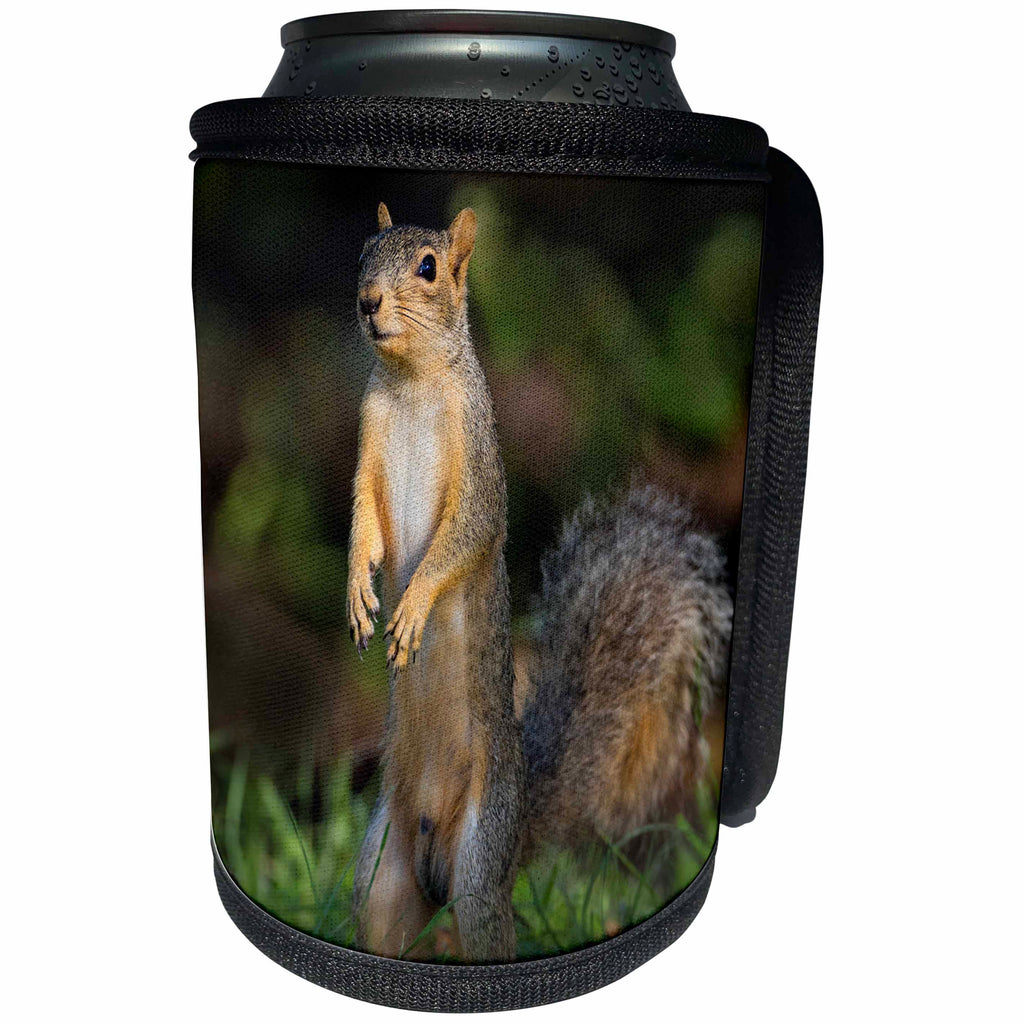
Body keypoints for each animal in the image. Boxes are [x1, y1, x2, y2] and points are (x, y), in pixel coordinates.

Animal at [348, 204, 733, 963]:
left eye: (428, 267)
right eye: (364, 251)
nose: (369, 301)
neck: (410, 386)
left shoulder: (479, 461)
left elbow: (463, 536)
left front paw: (411, 608)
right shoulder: (369, 435)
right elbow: (364, 528)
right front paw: (357, 591)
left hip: (479, 854)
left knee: (487, 924)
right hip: (383, 872)